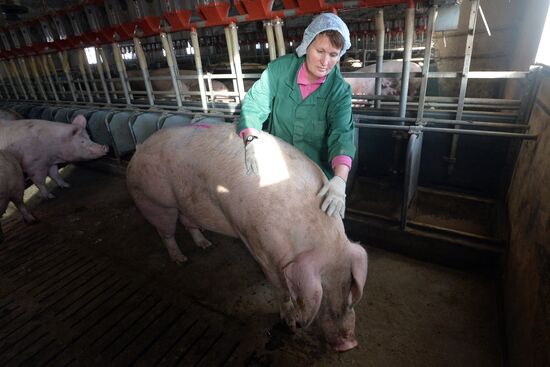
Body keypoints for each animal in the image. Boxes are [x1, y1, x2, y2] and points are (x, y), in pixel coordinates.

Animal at [128, 123, 370, 350]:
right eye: (323, 291)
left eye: (350, 285)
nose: (349, 344)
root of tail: (139, 150)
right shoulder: (260, 247)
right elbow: (279, 288)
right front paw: (290, 324)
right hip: (154, 201)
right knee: (166, 232)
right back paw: (181, 259)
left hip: (185, 205)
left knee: (188, 223)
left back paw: (206, 244)